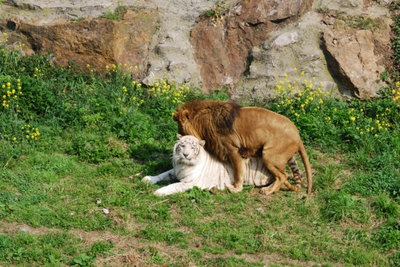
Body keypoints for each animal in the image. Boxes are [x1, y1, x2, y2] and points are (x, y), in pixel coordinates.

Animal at [142, 136, 302, 197]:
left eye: (193, 147)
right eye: (182, 146)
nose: (186, 154)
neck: (183, 164)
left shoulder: (189, 182)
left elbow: (174, 186)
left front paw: (159, 192)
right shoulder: (174, 170)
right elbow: (162, 174)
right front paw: (148, 179)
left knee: (280, 177)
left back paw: (267, 190)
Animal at [173, 100, 310, 197]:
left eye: (179, 127)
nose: (178, 136)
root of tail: (298, 135)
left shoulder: (233, 150)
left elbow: (238, 172)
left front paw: (236, 188)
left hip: (268, 156)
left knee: (283, 175)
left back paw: (267, 191)